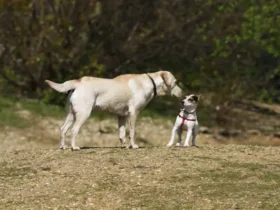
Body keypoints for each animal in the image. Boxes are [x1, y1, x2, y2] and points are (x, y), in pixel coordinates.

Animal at [44, 70, 183, 149]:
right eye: (175, 82)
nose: (182, 93)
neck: (151, 83)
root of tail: (77, 82)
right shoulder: (134, 113)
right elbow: (132, 132)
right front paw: (133, 145)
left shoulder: (121, 115)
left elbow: (122, 133)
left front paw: (124, 146)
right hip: (83, 114)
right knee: (74, 130)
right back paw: (74, 147)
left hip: (71, 114)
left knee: (63, 129)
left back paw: (63, 147)